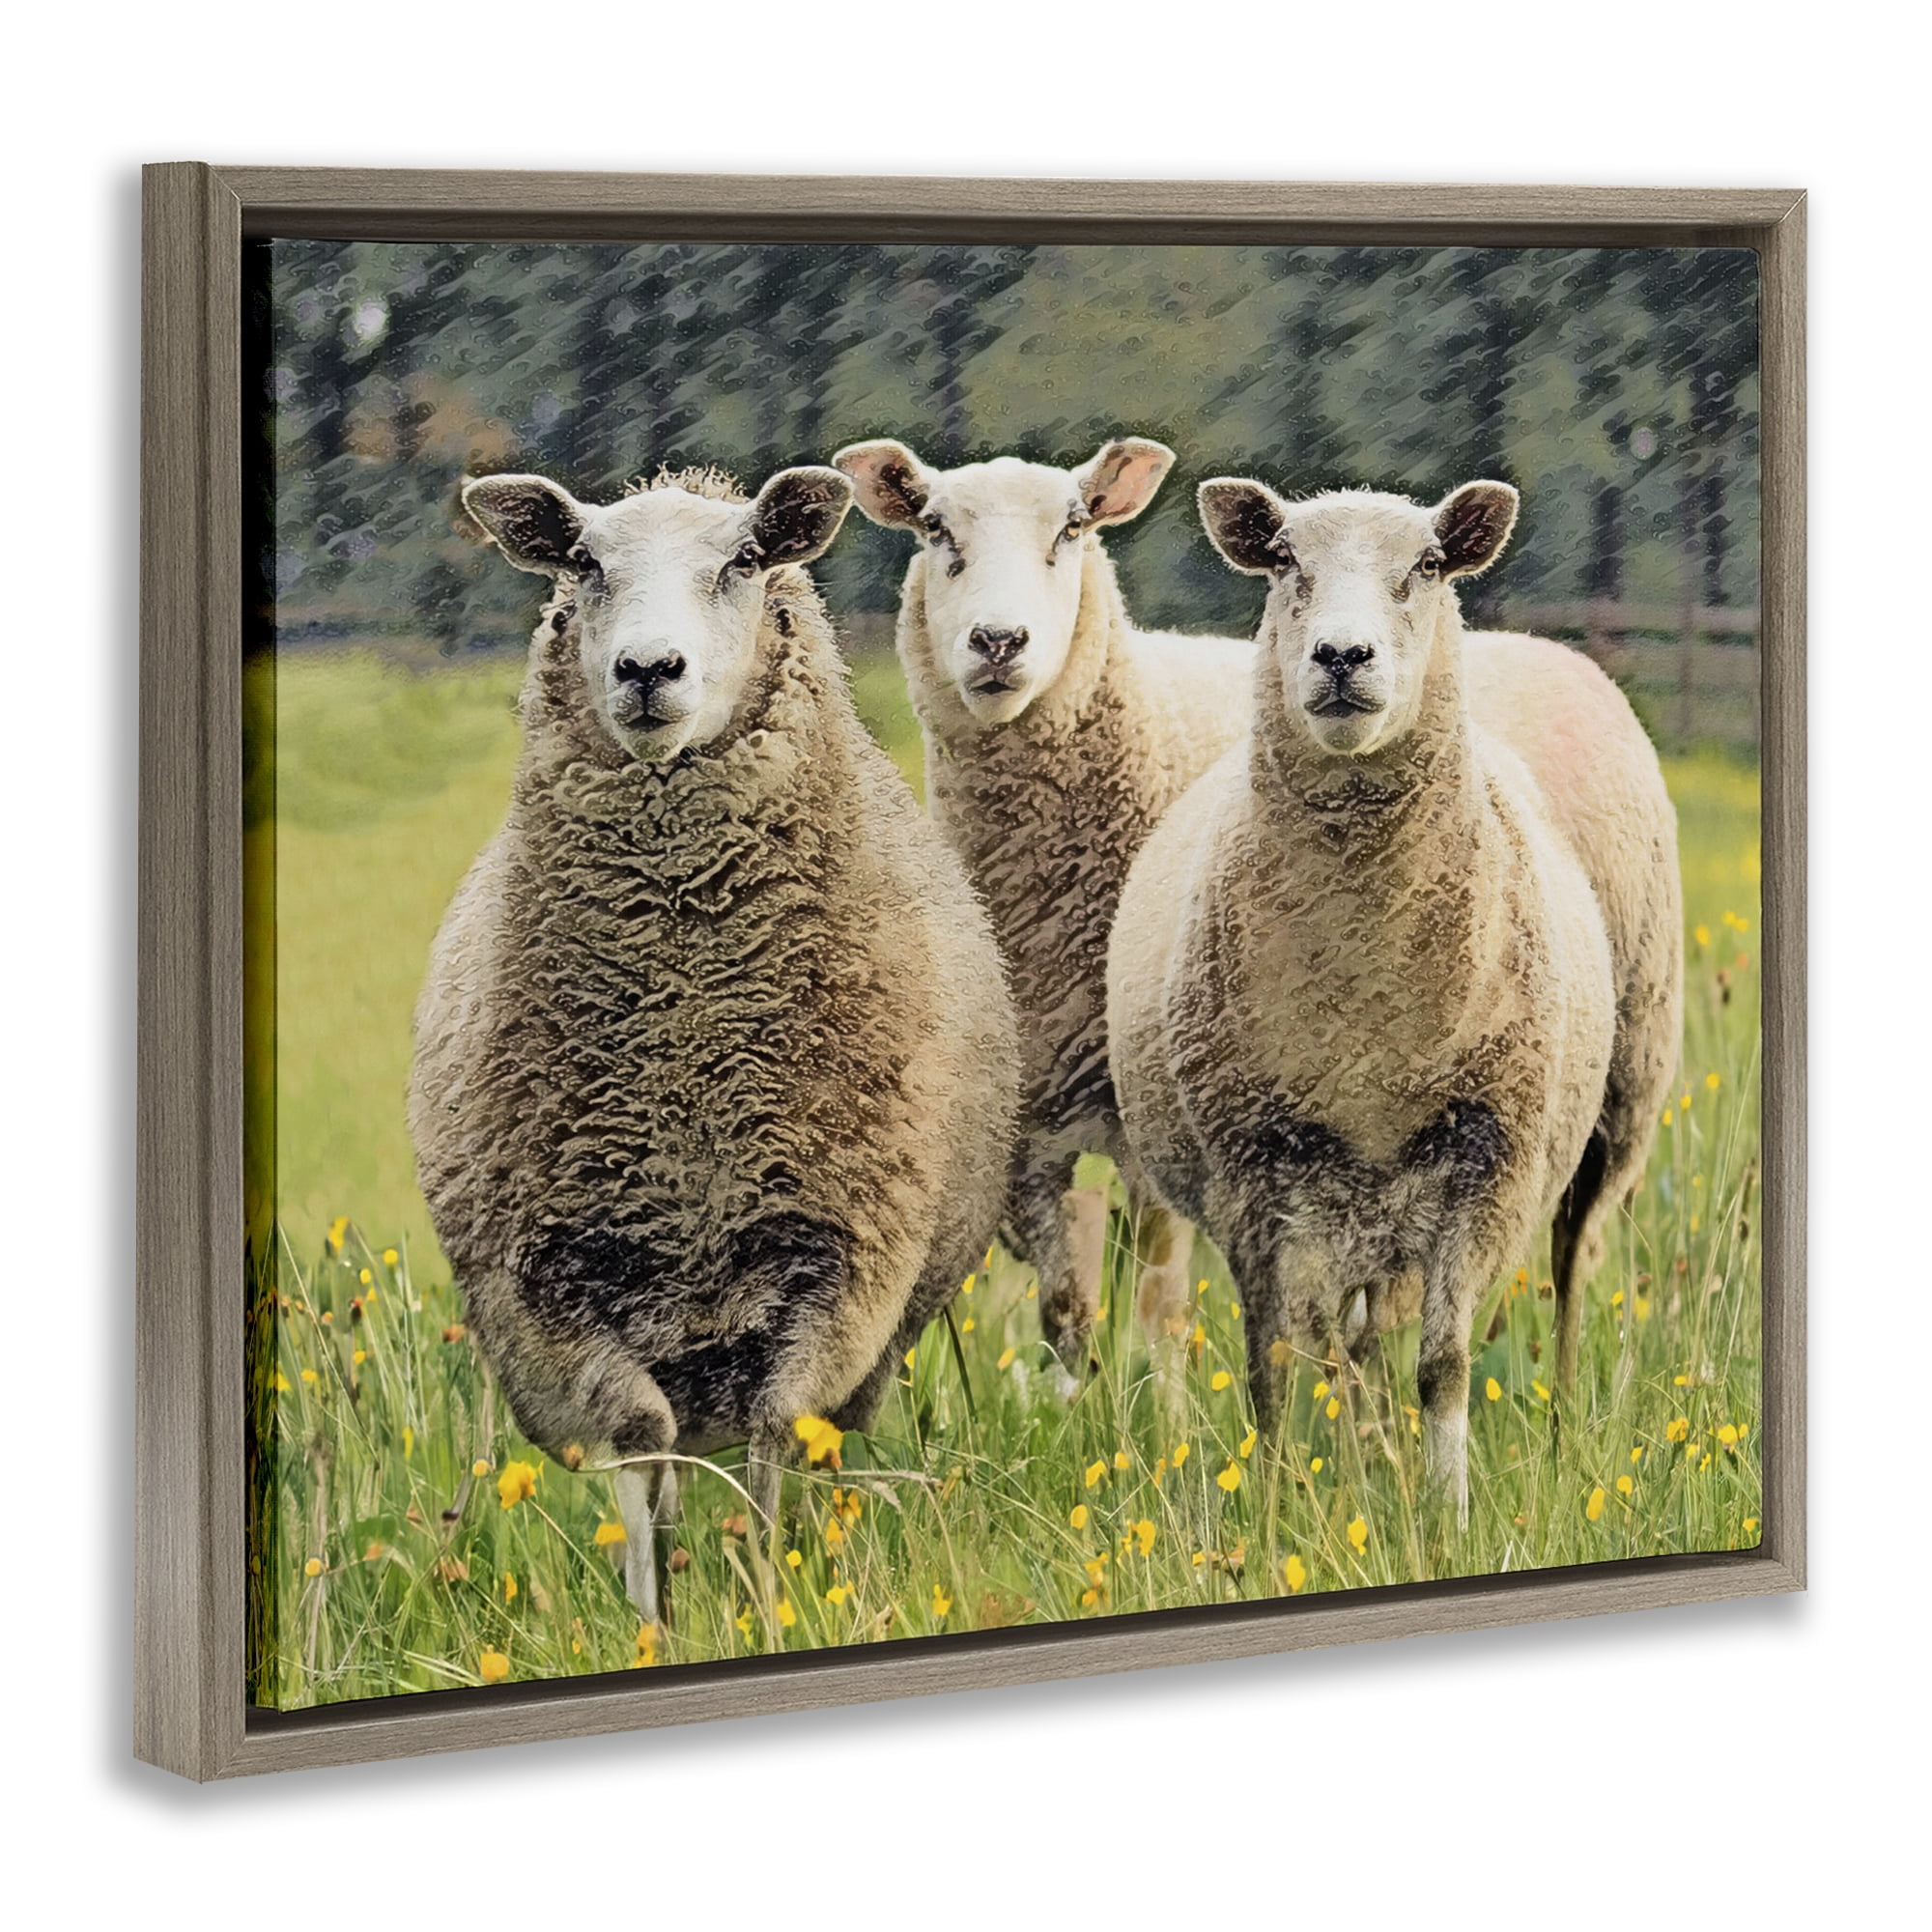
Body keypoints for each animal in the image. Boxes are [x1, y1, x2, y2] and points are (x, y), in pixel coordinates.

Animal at [410, 463, 1019, 1618]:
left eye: (742, 561)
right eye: (582, 563)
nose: (649, 669)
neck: (686, 1041)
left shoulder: (840, 1259)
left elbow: (781, 1432)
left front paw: (766, 1594)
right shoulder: (548, 1286)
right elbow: (638, 1440)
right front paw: (656, 1617)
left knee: (808, 1443)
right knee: (673, 1447)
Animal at [832, 436, 1254, 1379]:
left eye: (1072, 527)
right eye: (933, 527)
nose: (998, 639)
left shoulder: (1149, 1122)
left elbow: (1158, 1303)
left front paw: (1159, 1409)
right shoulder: (1024, 1132)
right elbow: (1067, 1311)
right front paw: (1082, 1402)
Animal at [1108, 477, 1680, 1518]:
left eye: (1425, 564)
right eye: (1284, 559)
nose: (1342, 655)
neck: (1365, 999)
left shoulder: (1488, 1156)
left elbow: (1444, 1365)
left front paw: (1446, 1513)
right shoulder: (1251, 1169)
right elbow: (1276, 1363)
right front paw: (1275, 1507)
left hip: (1618, 1101)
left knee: (1572, 1268)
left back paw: (1562, 1424)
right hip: (1351, 1202)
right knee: (1349, 1342)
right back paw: (1362, 1460)